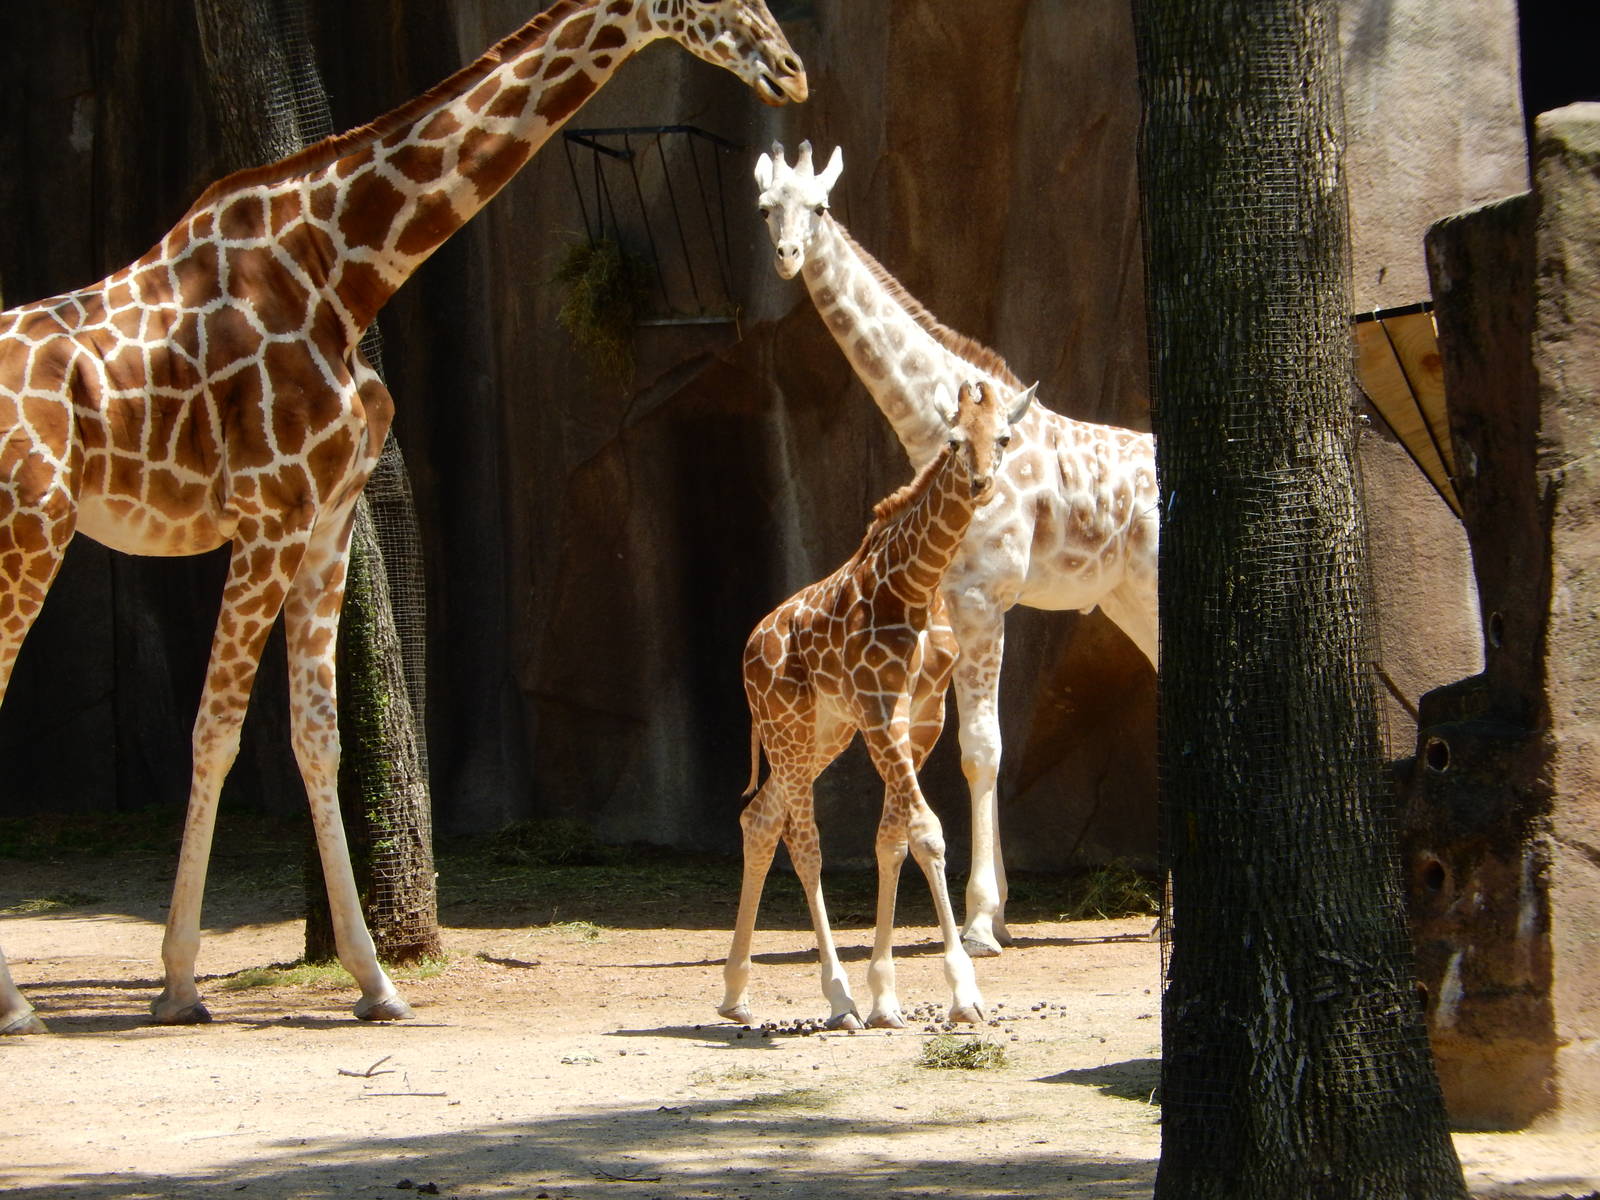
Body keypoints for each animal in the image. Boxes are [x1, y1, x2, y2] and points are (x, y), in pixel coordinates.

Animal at [0, 0, 805, 1036]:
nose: (791, 70)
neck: (342, 268)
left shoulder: (326, 515)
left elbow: (318, 735)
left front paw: (374, 981)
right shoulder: (266, 513)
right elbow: (217, 732)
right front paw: (178, 983)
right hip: (33, 528)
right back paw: (19, 1006)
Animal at [720, 378, 1036, 1031]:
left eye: (1004, 437)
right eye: (953, 439)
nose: (979, 483)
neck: (914, 587)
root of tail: (751, 646)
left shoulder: (920, 716)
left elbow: (894, 838)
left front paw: (887, 997)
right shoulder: (879, 709)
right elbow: (928, 832)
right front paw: (963, 994)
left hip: (821, 734)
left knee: (760, 818)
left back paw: (737, 994)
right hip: (788, 726)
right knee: (803, 841)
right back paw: (837, 998)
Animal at [754, 142, 1158, 958]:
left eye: (820, 206)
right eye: (765, 208)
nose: (787, 257)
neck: (928, 420)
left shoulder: (984, 597)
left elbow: (982, 749)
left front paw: (976, 923)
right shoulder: (954, 604)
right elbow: (971, 746)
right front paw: (995, 913)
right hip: (1130, 595)